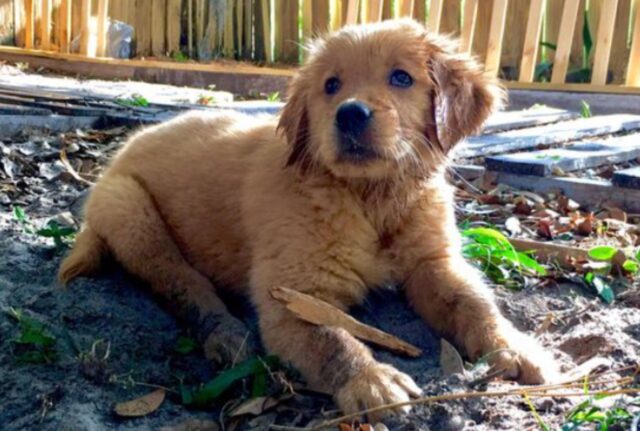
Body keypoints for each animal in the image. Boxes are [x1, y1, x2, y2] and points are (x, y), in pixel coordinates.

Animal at [62, 19, 556, 418]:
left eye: (401, 77)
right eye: (331, 85)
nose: (350, 114)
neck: (369, 197)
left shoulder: (433, 262)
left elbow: (474, 303)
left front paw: (515, 346)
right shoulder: (292, 292)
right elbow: (333, 339)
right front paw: (371, 380)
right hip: (131, 212)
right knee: (182, 285)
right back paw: (226, 334)